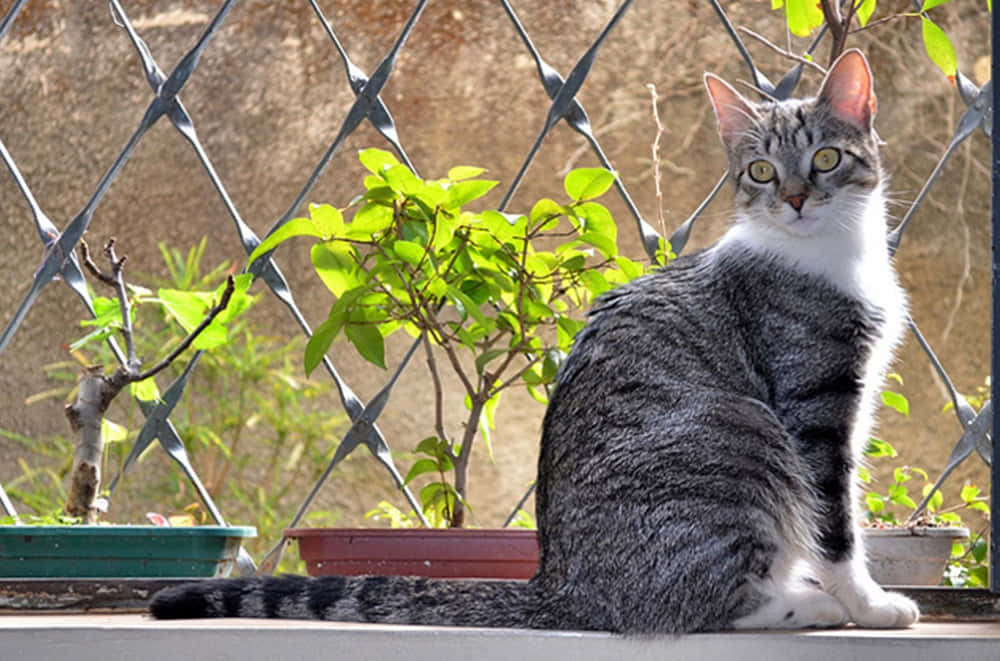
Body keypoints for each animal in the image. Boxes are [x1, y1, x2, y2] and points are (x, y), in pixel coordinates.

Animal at [145, 49, 916, 632]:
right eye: (760, 170)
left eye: (825, 159)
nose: (794, 197)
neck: (830, 253)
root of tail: (561, 586)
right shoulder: (814, 403)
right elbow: (835, 519)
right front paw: (869, 604)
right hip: (742, 434)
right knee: (699, 603)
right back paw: (805, 605)